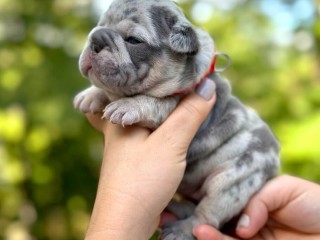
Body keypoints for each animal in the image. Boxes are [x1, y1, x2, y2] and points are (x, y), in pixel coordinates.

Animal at [74, 0, 278, 239]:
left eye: (133, 40)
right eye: (99, 26)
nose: (95, 38)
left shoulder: (177, 104)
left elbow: (153, 103)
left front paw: (127, 105)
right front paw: (90, 95)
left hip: (234, 181)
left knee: (206, 217)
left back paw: (181, 229)